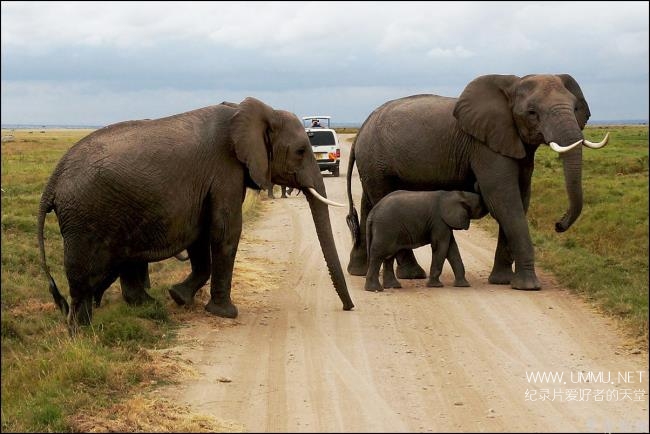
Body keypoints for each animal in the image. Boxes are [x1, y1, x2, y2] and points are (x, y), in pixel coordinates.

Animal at [39, 96, 354, 332]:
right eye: (301, 151)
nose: (349, 307)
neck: (251, 111)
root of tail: (52, 181)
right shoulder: (225, 169)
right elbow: (225, 229)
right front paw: (225, 314)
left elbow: (201, 233)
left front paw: (179, 297)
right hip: (85, 217)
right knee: (83, 276)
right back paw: (82, 332)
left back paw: (147, 306)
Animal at [346, 73, 604, 290]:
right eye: (532, 112)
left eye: (575, 107)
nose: (558, 225)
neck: (512, 85)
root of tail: (362, 128)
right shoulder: (484, 146)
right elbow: (503, 200)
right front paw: (528, 286)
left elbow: (520, 200)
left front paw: (503, 281)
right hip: (377, 161)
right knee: (381, 198)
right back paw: (412, 274)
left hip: (373, 164)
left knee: (368, 203)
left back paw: (358, 272)